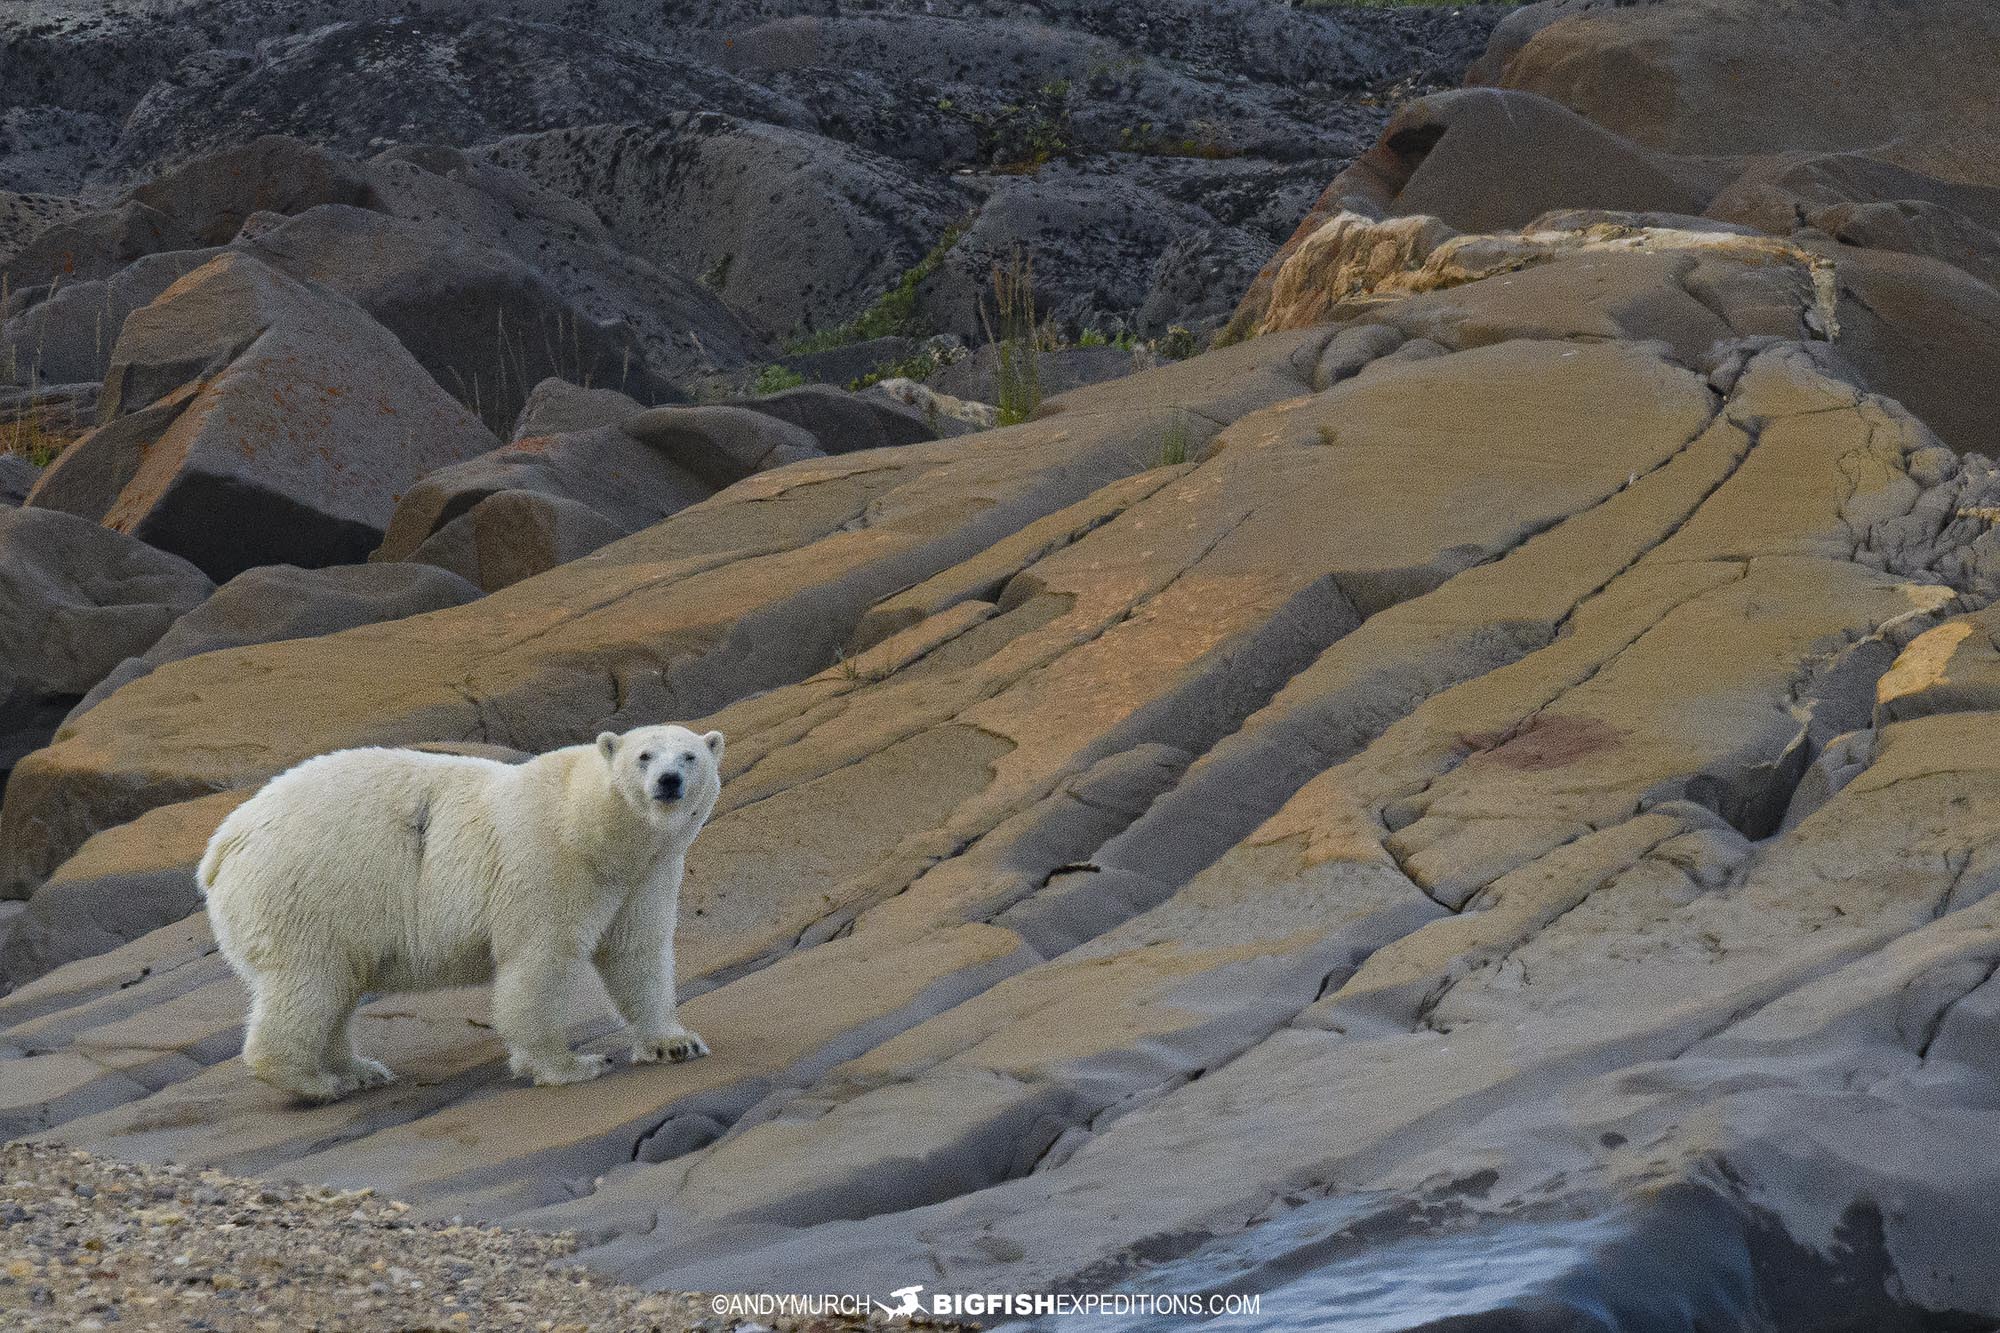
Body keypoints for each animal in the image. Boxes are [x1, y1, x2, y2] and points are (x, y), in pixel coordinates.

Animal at [198, 723, 724, 1102]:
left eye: (690, 756)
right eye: (644, 756)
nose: (669, 782)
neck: (590, 826)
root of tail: (221, 846)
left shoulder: (645, 874)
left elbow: (637, 951)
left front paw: (675, 1043)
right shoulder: (547, 864)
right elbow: (537, 964)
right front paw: (571, 1066)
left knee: (336, 986)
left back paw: (360, 1069)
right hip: (307, 893)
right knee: (310, 982)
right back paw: (316, 1082)